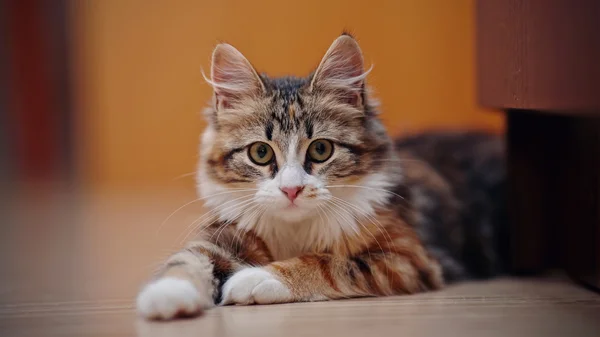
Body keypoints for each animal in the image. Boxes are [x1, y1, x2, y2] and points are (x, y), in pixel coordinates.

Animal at [135, 34, 506, 320]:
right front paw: (166, 295)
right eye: (260, 153)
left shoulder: (406, 256)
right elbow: (186, 260)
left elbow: (327, 263)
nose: (291, 190)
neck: (294, 231)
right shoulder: (222, 237)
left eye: (321, 150)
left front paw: (254, 279)